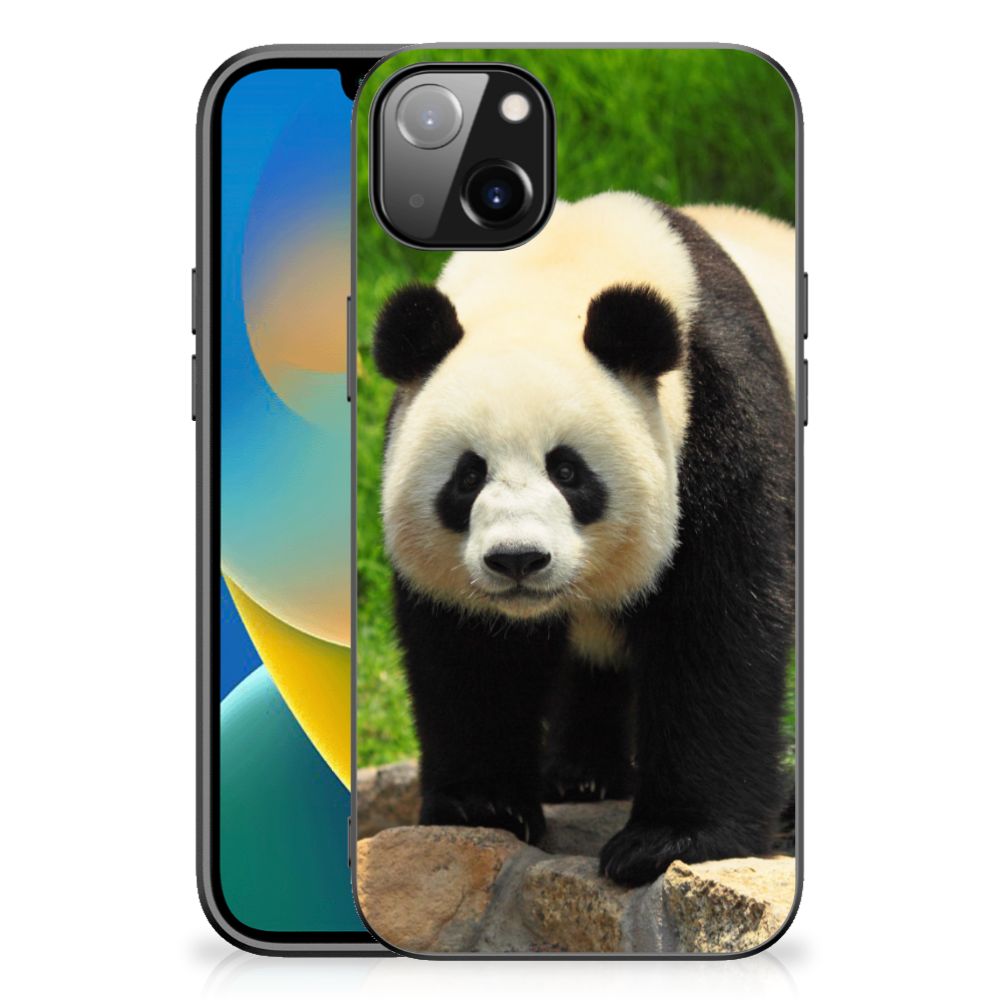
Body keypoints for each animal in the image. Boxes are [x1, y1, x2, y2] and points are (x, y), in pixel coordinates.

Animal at [370, 192, 796, 887]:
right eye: (468, 476)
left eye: (567, 471)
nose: (517, 560)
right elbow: (471, 651)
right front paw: (483, 806)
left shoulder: (721, 416)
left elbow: (718, 625)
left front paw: (669, 841)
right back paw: (581, 776)